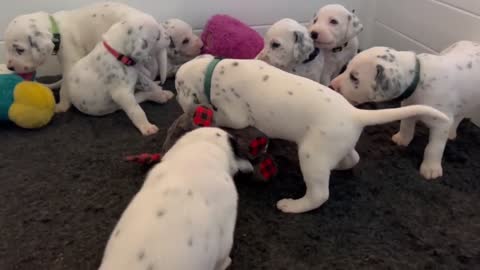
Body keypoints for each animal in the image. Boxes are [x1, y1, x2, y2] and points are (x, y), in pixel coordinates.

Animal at [2, 1, 168, 113]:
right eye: (8, 48)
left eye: (20, 50)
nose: (10, 67)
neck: (56, 28)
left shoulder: (70, 61)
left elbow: (65, 88)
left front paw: (62, 106)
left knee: (145, 75)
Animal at [175, 55, 450, 215]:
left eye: (178, 87)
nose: (180, 103)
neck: (212, 71)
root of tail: (355, 114)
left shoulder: (235, 114)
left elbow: (224, 118)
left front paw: (205, 115)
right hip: (335, 145)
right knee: (352, 158)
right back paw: (337, 167)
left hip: (311, 154)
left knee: (319, 194)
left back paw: (292, 205)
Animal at [330, 40, 480, 179]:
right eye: (346, 68)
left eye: (354, 77)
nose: (332, 85)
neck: (420, 78)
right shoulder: (410, 106)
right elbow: (406, 126)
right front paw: (402, 139)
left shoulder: (441, 122)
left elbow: (433, 148)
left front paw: (431, 169)